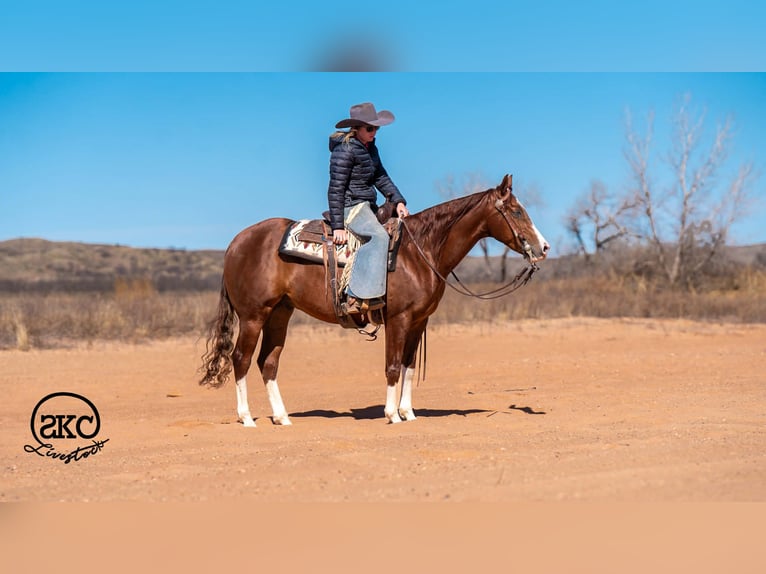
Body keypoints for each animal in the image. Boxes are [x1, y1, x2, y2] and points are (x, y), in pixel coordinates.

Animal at [199, 173, 549, 426]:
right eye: (516, 210)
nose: (543, 247)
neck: (419, 251)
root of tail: (236, 242)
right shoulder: (398, 318)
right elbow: (392, 366)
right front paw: (391, 414)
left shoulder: (419, 321)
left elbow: (408, 366)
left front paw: (409, 413)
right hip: (253, 315)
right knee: (240, 359)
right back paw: (246, 418)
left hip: (279, 313)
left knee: (267, 362)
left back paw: (282, 417)